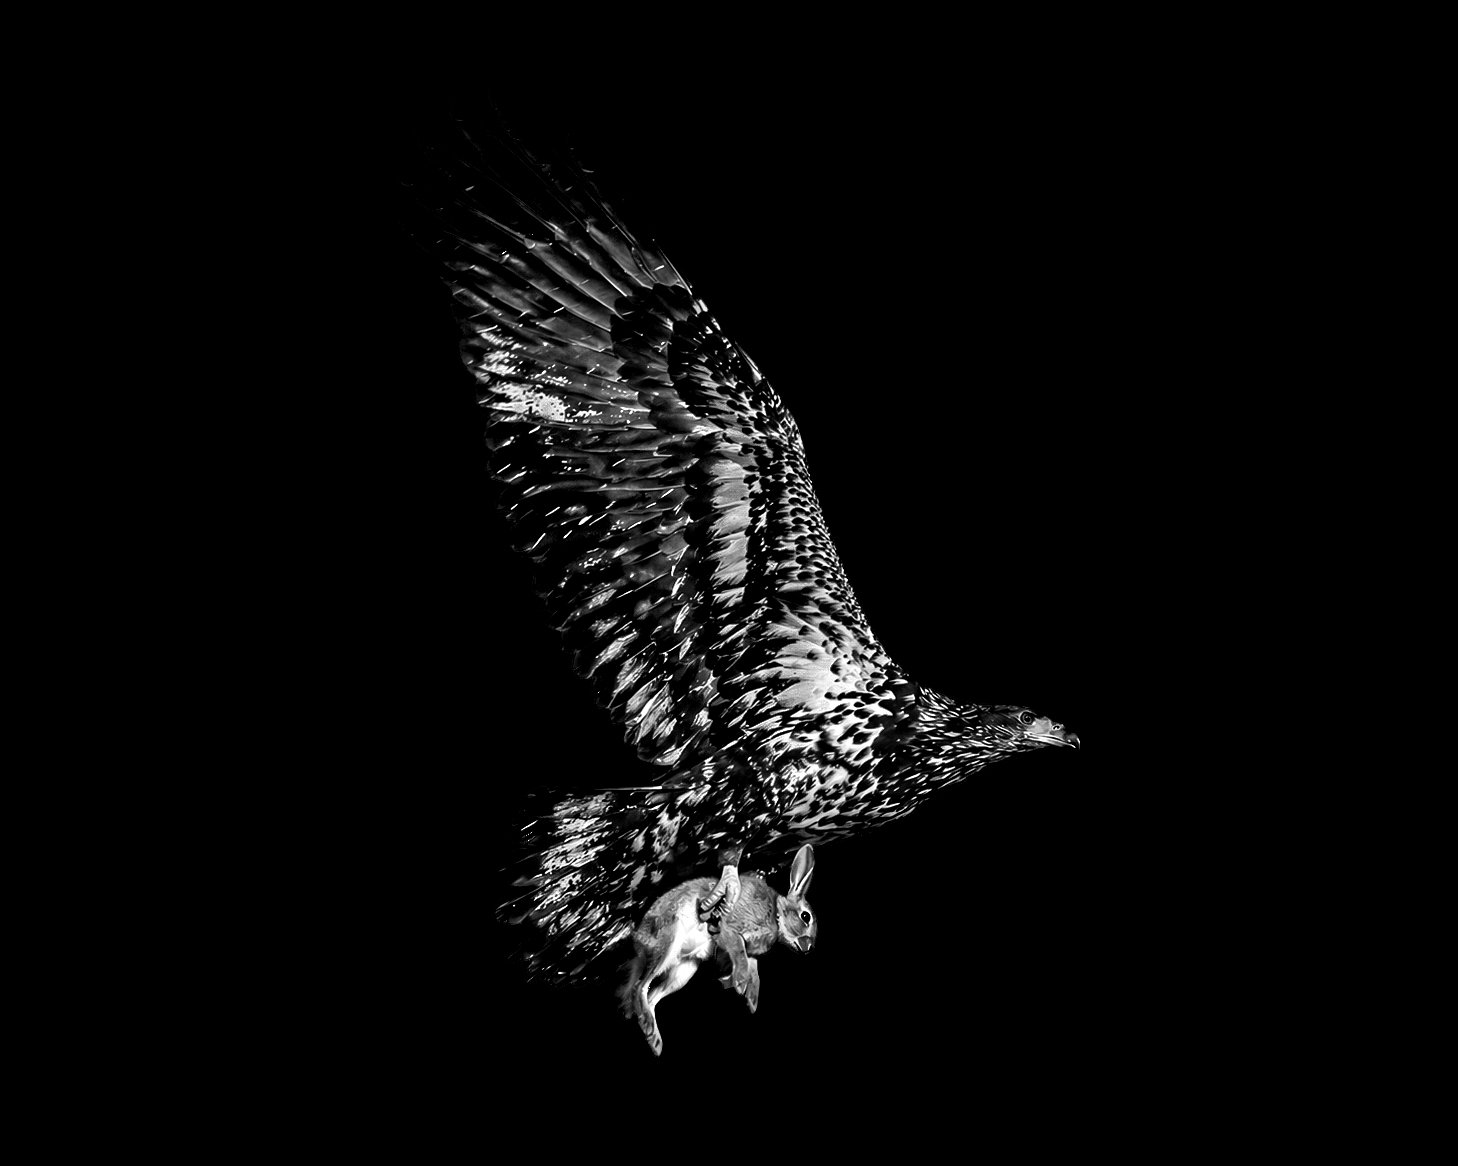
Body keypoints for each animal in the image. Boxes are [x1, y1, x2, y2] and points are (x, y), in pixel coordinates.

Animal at [618, 844, 817, 1056]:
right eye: (805, 917)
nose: (808, 948)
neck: (777, 915)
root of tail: (639, 944)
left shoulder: (750, 953)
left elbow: (754, 973)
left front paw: (751, 1000)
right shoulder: (729, 931)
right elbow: (741, 957)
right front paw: (739, 983)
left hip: (685, 971)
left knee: (652, 996)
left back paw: (654, 1040)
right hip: (668, 941)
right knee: (640, 986)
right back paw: (649, 1028)